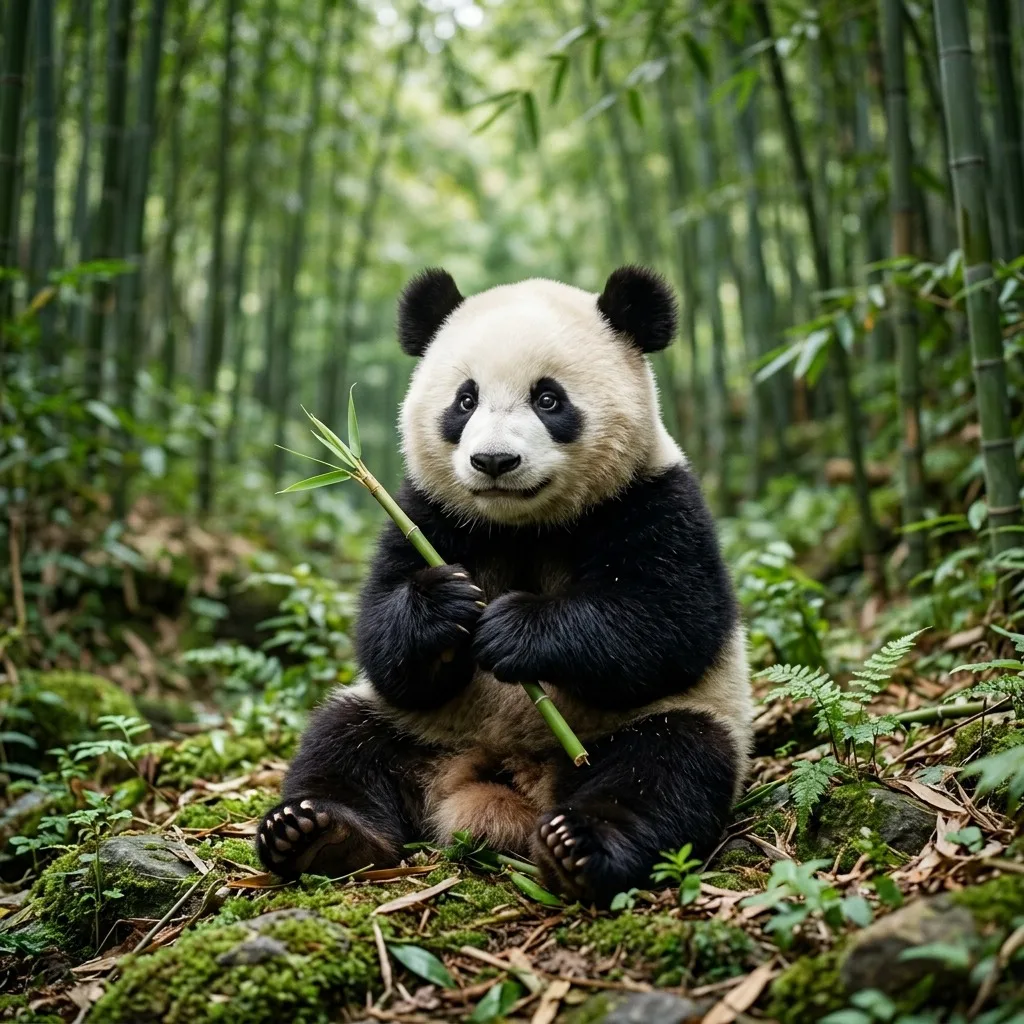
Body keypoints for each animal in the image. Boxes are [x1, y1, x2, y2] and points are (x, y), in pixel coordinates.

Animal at [256, 265, 753, 906]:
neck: (524, 523)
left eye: (548, 399)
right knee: (342, 742)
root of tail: (502, 779)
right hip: (415, 726)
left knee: (668, 767)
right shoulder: (426, 512)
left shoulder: (655, 497)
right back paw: (318, 833)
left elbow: (669, 621)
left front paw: (514, 629)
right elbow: (380, 638)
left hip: (661, 723)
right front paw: (443, 607)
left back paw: (580, 847)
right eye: (465, 399)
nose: (493, 461)